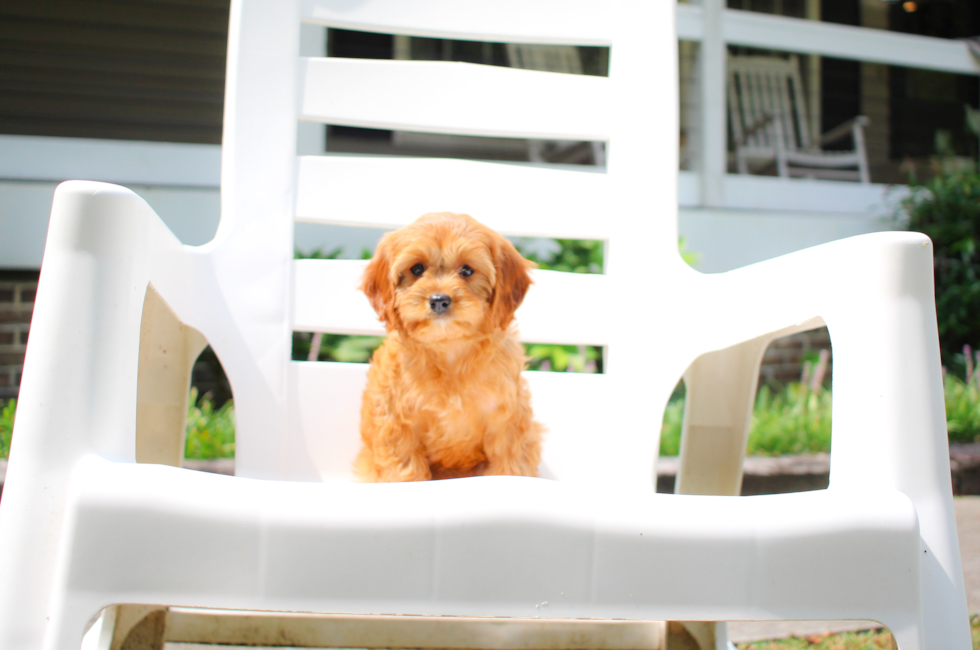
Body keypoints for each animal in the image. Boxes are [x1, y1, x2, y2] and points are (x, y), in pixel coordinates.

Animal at [356, 213, 548, 480]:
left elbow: (510, 467)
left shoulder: (508, 422)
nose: (439, 300)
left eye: (467, 270)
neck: (450, 350)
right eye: (416, 269)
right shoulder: (397, 424)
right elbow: (405, 471)